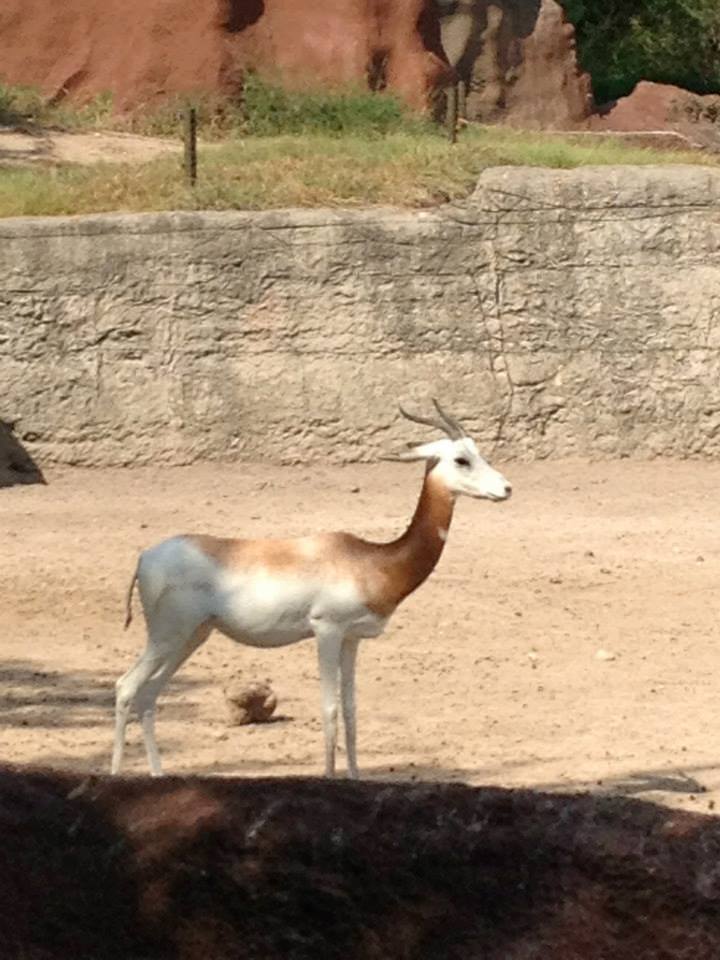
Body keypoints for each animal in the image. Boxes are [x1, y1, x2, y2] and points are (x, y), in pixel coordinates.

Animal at [111, 401, 512, 779]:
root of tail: (145, 556)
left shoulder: (352, 638)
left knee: (148, 695)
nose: (506, 488)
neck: (371, 560)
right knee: (126, 687)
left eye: (478, 450)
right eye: (462, 459)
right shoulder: (327, 630)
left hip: (193, 636)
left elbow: (350, 711)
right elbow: (330, 709)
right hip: (167, 635)